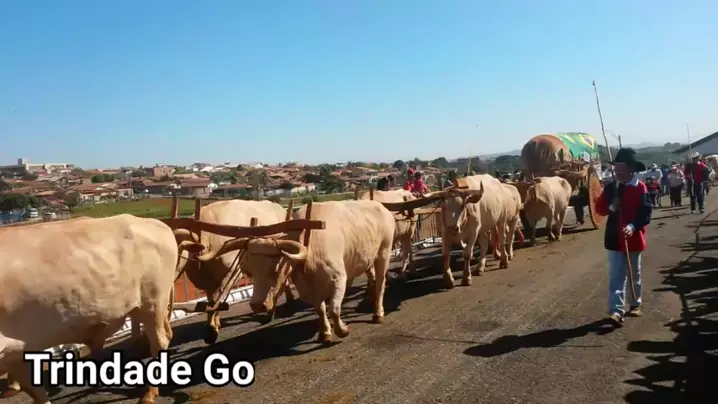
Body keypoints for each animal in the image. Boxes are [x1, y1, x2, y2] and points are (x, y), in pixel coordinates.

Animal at [0, 214, 205, 404]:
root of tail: (155, 222)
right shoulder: (15, 351)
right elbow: (35, 390)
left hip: (153, 302)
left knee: (160, 341)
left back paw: (149, 393)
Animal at [172, 199, 299, 344]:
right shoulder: (208, 280)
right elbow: (211, 301)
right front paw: (215, 325)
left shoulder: (231, 272)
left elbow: (215, 299)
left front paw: (211, 331)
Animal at [234, 200, 396, 343]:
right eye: (250, 272)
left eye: (275, 269)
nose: (257, 305)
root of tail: (381, 207)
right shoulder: (310, 289)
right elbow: (320, 309)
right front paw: (325, 332)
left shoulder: (338, 280)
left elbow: (334, 309)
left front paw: (342, 330)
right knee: (371, 278)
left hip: (384, 252)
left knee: (380, 283)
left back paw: (378, 312)